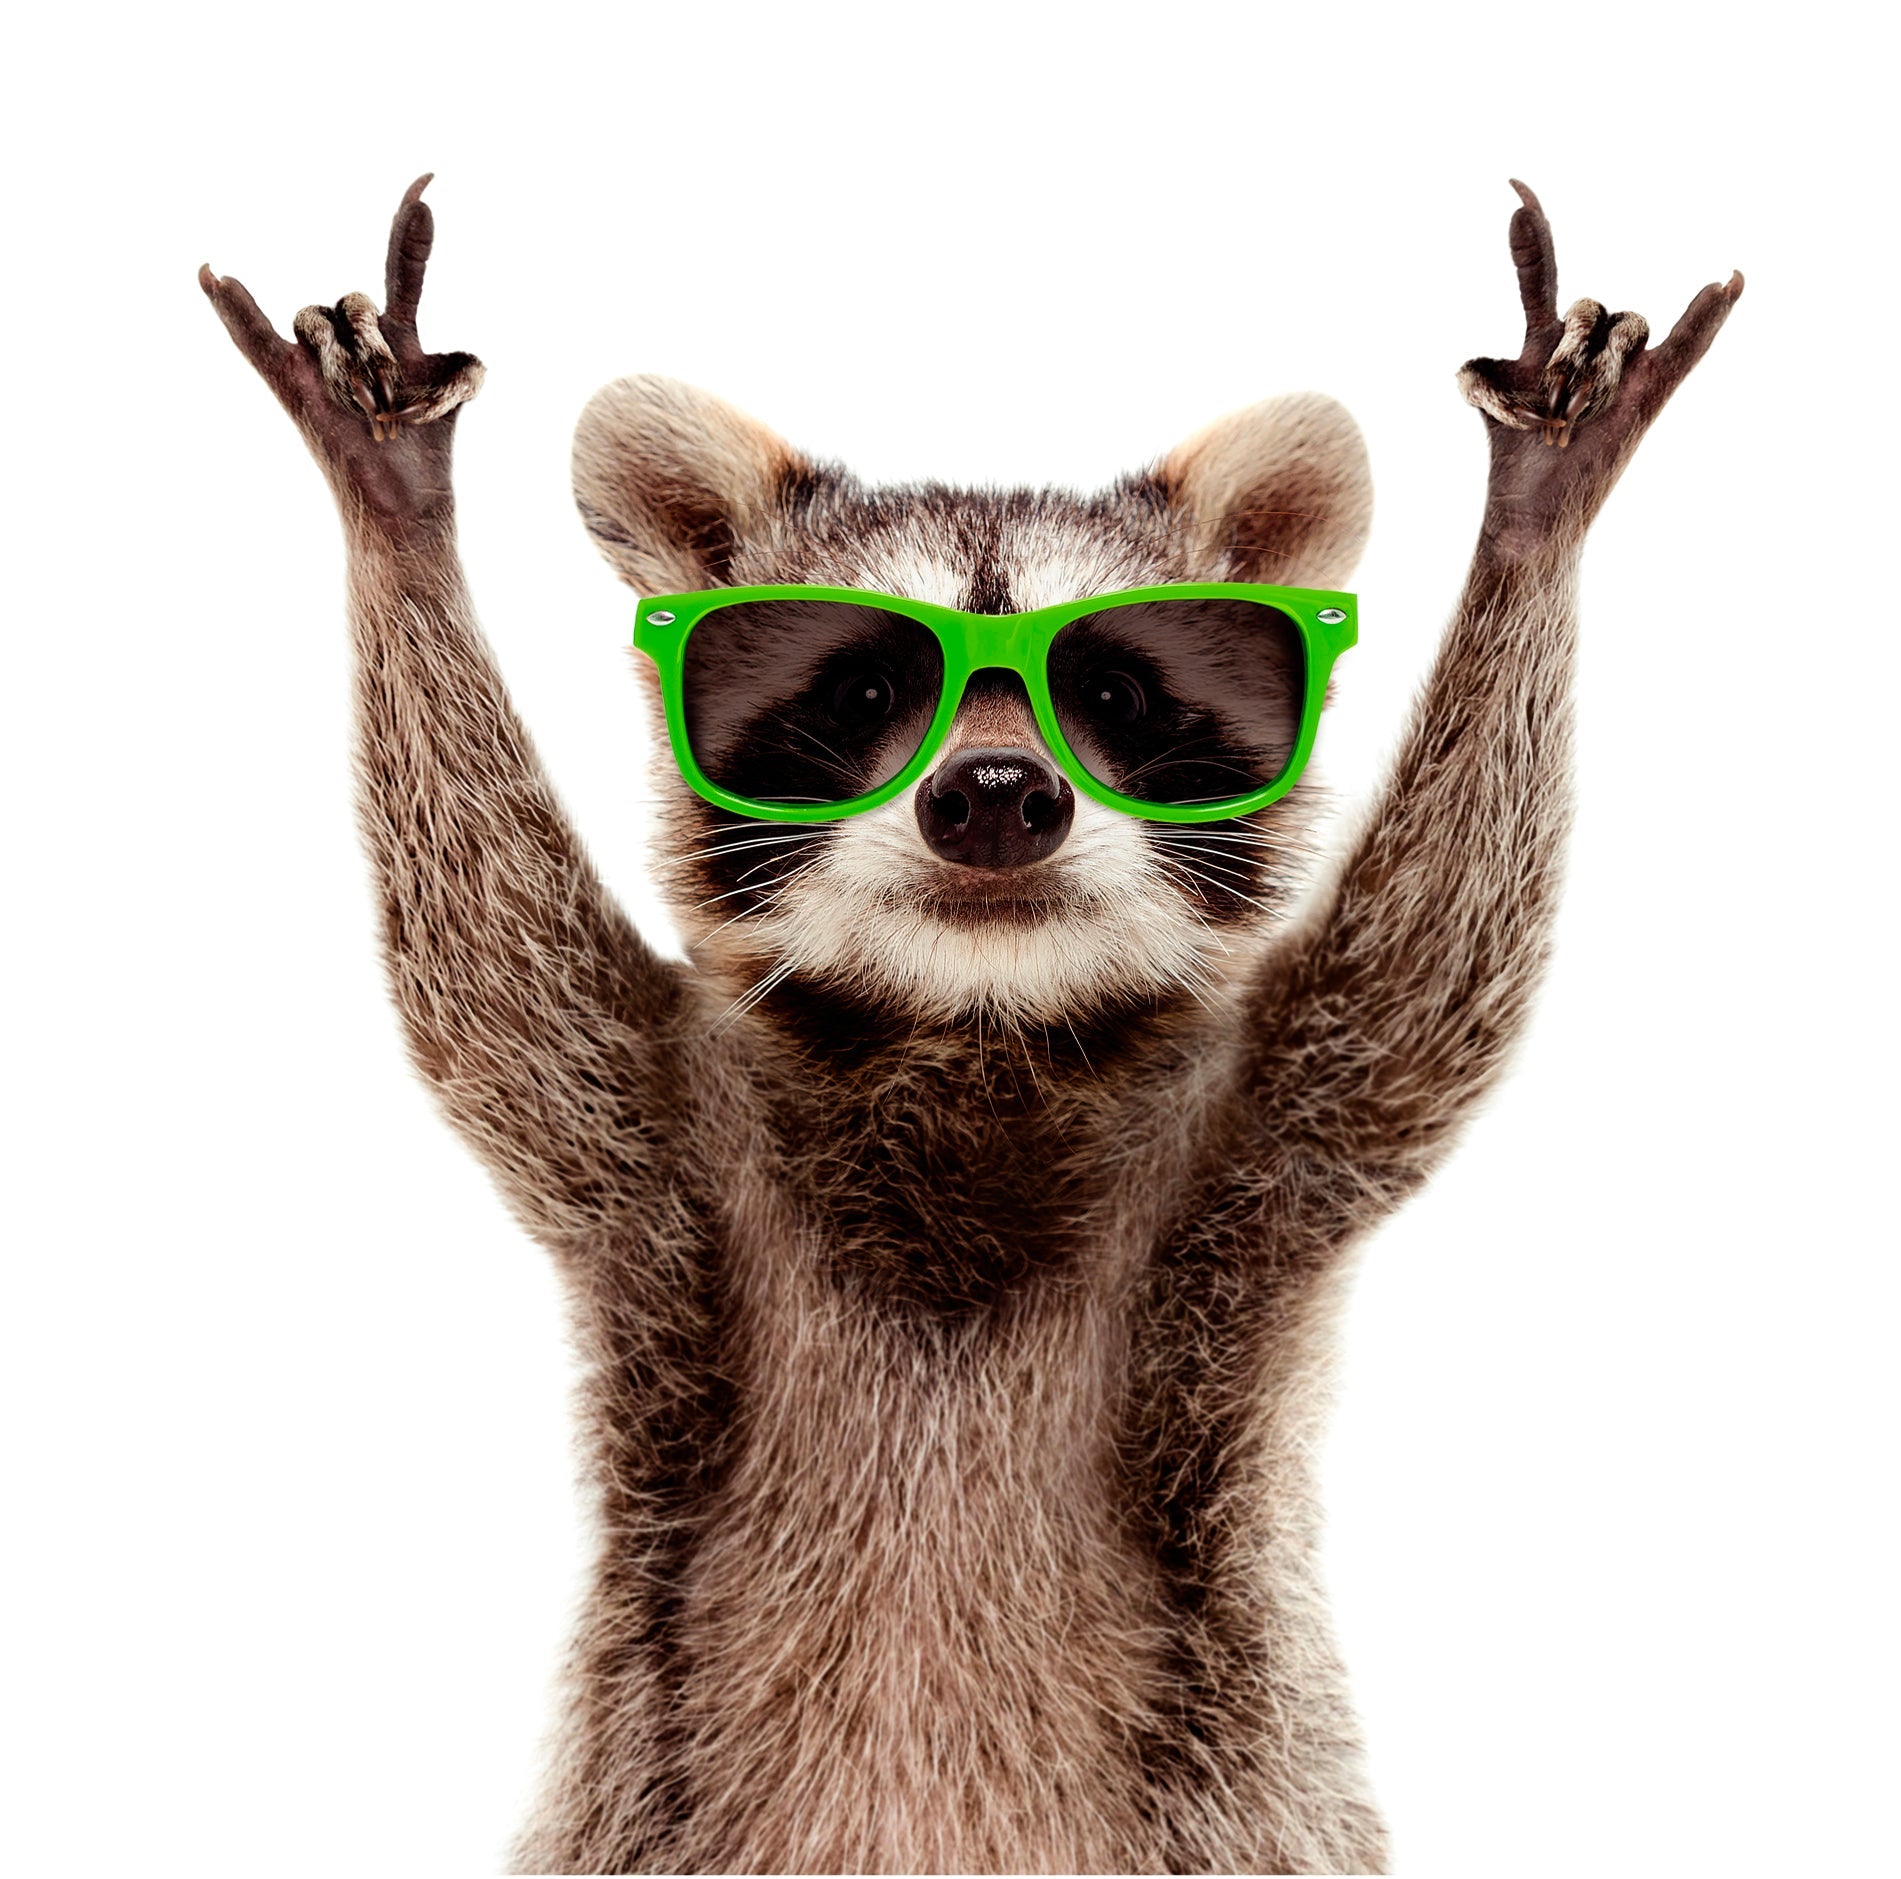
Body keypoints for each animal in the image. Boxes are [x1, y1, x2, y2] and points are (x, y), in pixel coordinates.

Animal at [201, 177, 1739, 1874]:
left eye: (1115, 696)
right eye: (866, 688)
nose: (996, 794)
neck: (972, 1023)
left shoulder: (1259, 1139)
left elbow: (1430, 973)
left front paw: (1531, 526)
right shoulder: (656, 1133)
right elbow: (488, 967)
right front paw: (400, 522)